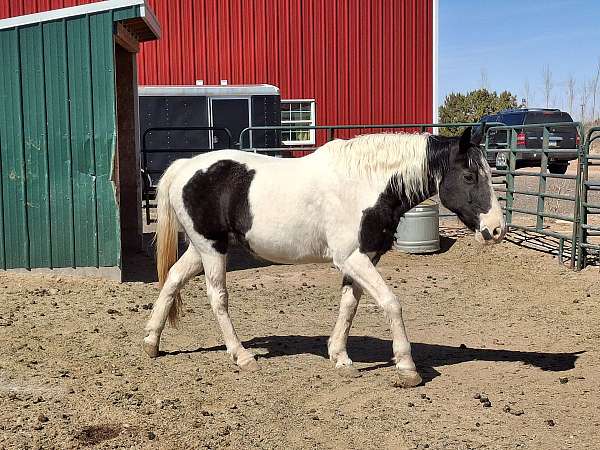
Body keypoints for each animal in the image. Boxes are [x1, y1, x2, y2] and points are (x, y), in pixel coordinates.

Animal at [143, 125, 504, 386]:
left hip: (201, 248)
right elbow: (391, 303)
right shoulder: (352, 258)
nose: (496, 229)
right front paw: (406, 367)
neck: (366, 184)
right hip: (212, 249)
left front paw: (340, 358)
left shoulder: (364, 258)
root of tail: (185, 167)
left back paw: (151, 343)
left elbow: (349, 306)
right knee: (218, 298)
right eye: (469, 176)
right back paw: (241, 356)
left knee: (172, 280)